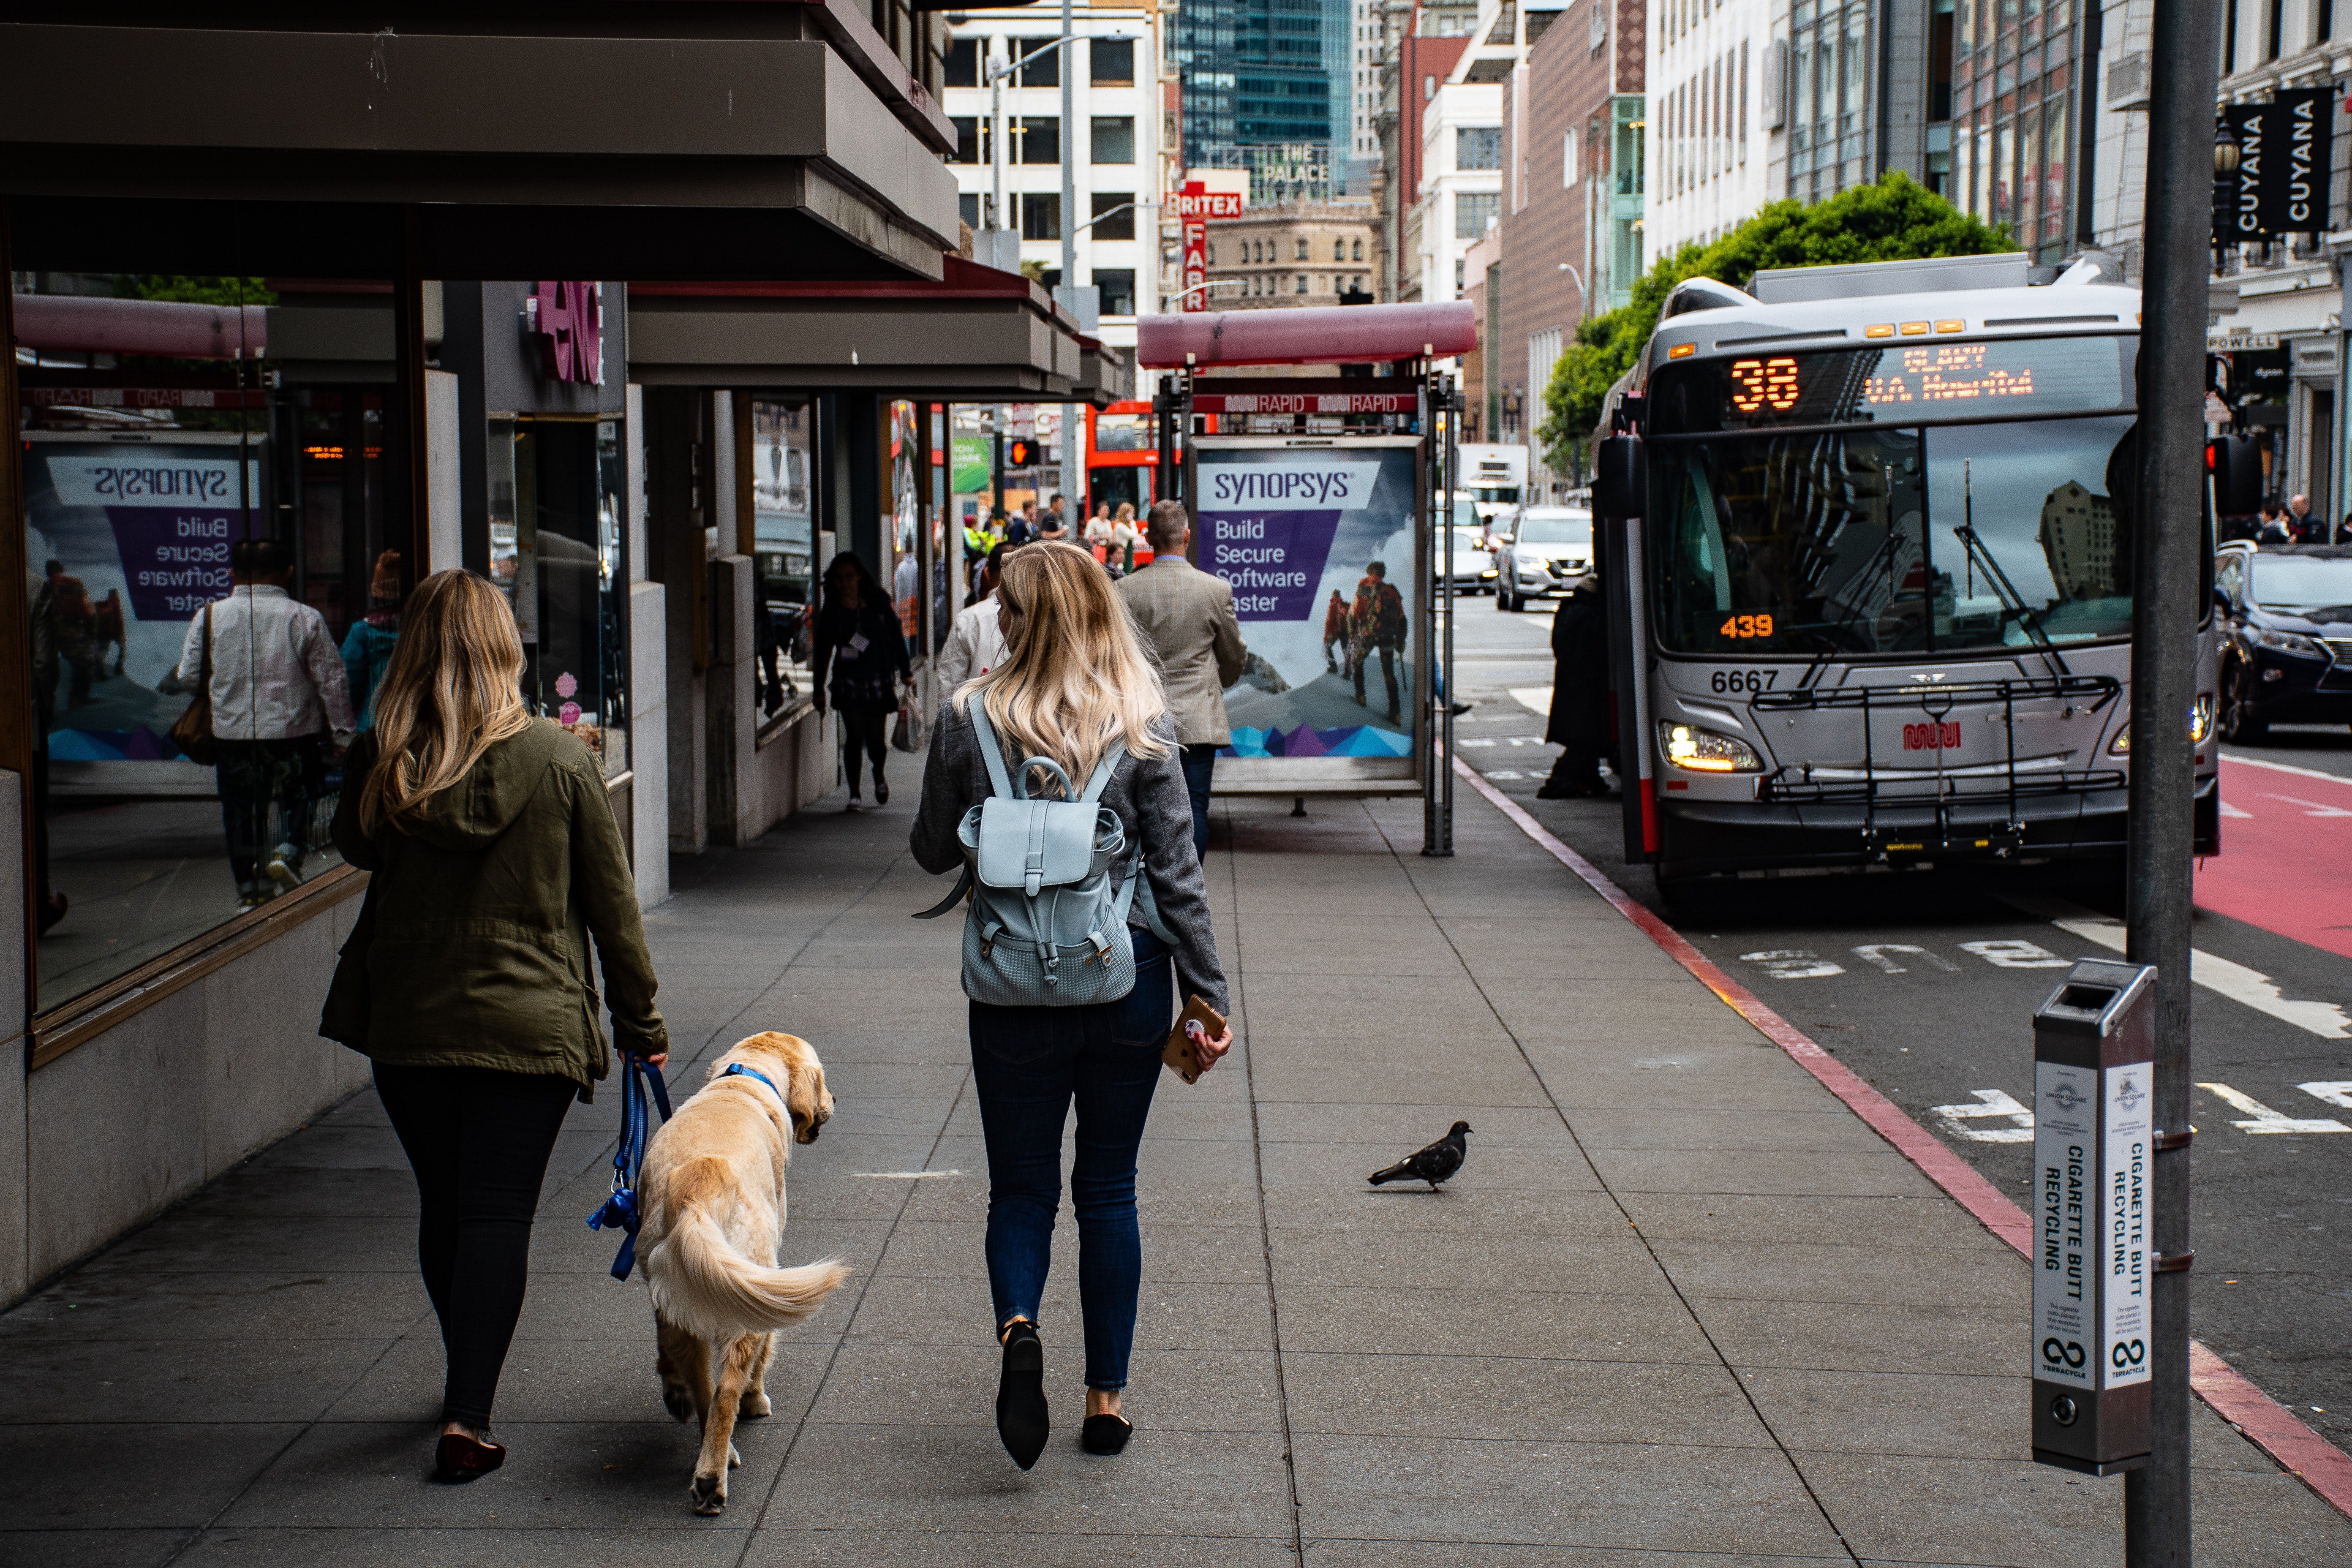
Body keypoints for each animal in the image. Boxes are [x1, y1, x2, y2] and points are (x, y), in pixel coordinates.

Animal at [640, 1029, 851, 1504]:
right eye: (822, 1077)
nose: (834, 1098)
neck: (743, 1080)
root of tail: (698, 1186)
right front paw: (756, 1400)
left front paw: (673, 1388)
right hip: (747, 1286)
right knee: (727, 1390)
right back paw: (712, 1477)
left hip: (682, 1289)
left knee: (701, 1382)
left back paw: (700, 1431)